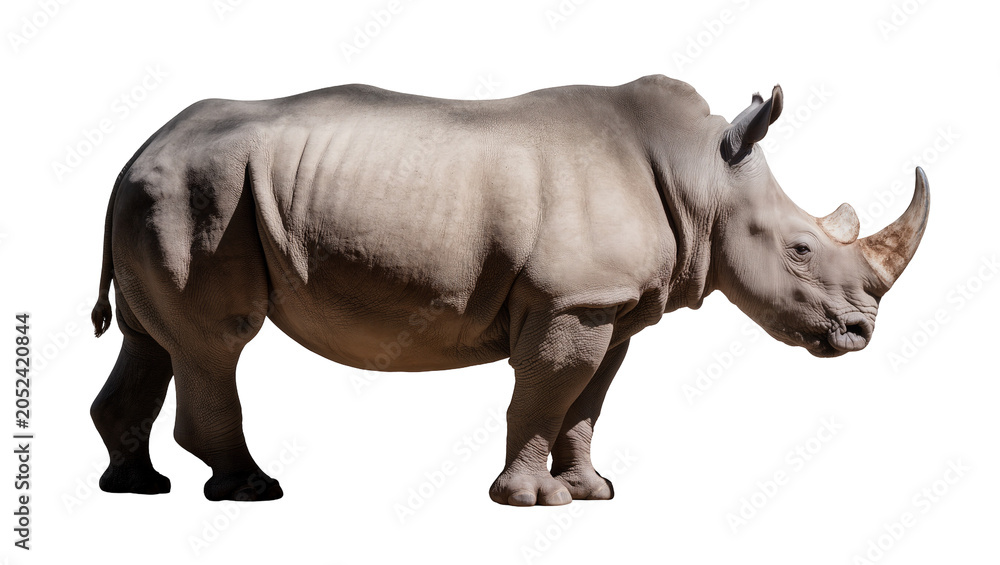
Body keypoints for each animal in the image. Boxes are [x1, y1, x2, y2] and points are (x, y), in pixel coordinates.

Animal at [89, 75, 928, 505]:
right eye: (800, 250)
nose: (860, 332)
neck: (701, 178)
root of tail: (136, 150)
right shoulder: (571, 300)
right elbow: (547, 392)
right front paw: (531, 500)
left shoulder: (609, 306)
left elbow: (587, 402)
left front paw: (594, 490)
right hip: (199, 193)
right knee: (217, 341)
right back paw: (252, 489)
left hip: (166, 193)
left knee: (152, 341)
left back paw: (137, 487)